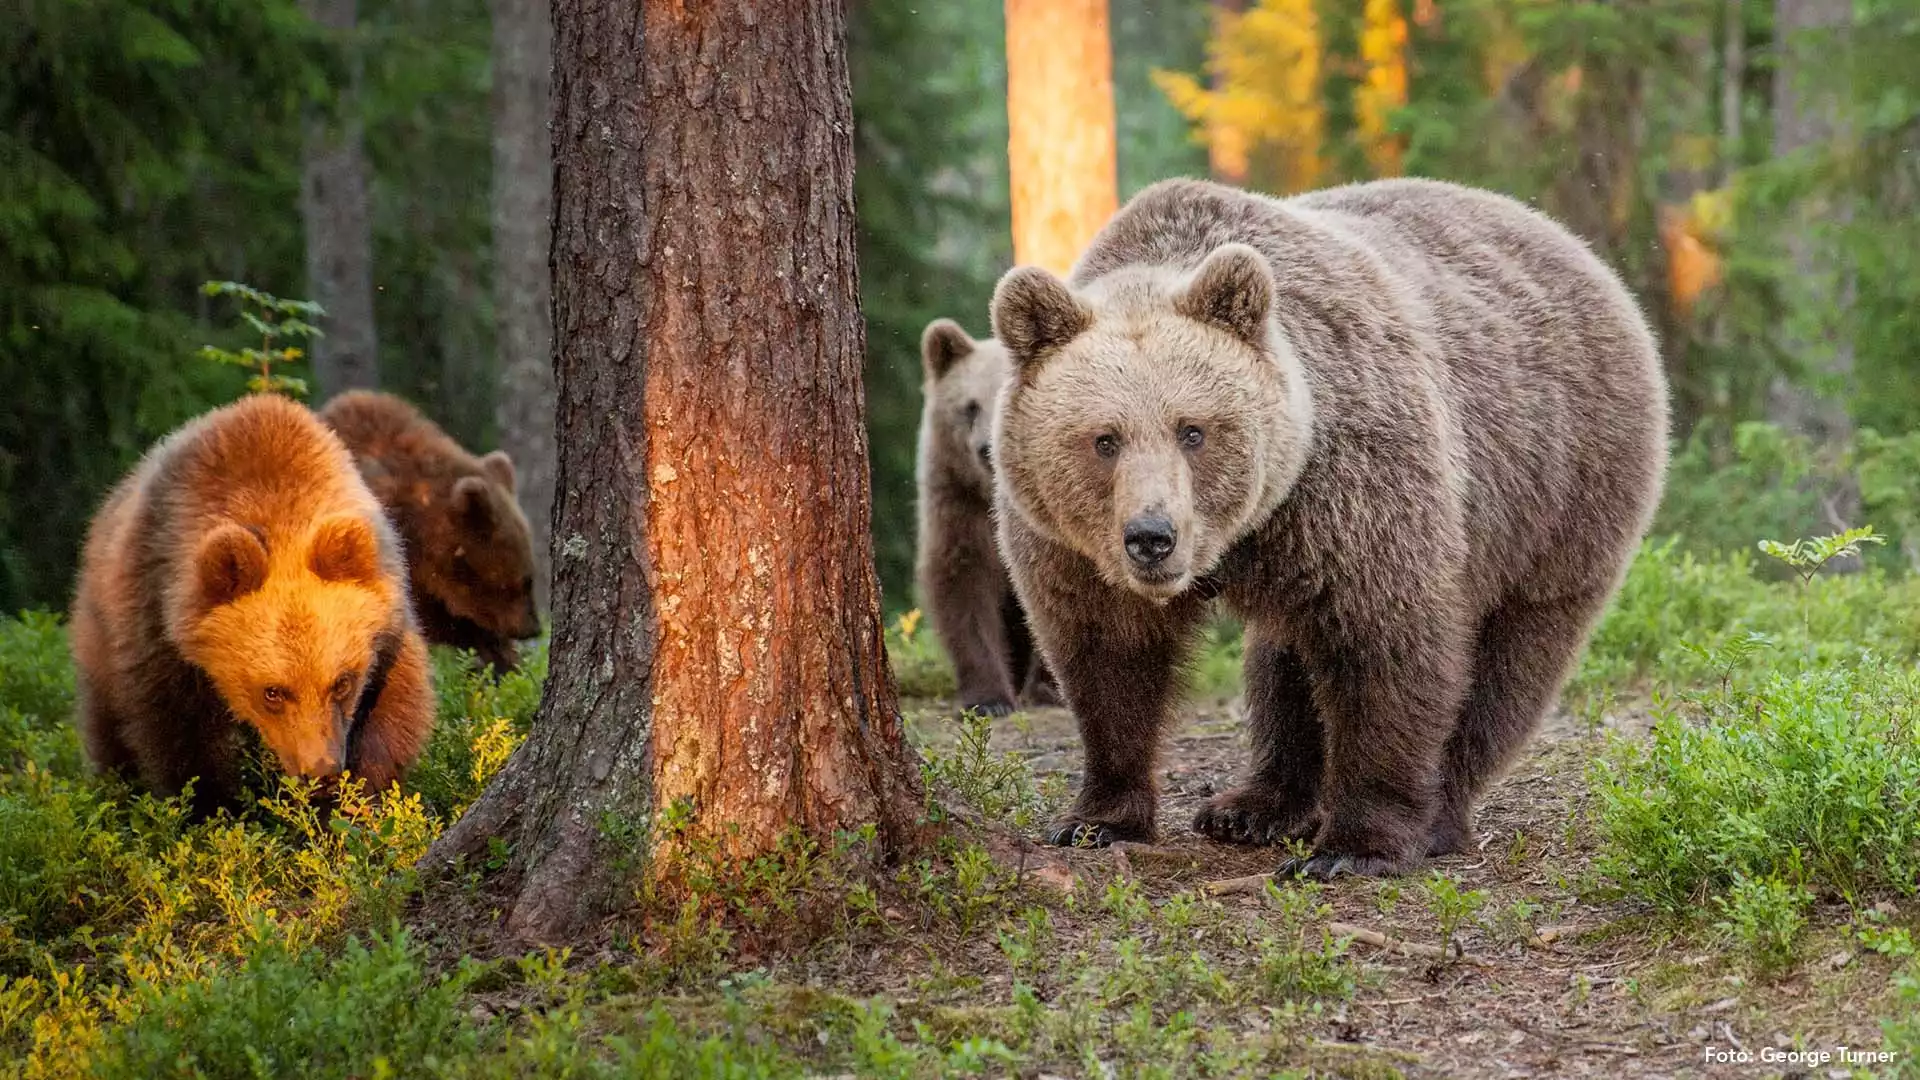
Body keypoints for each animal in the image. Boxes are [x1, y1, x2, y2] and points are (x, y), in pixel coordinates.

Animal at [68, 390, 439, 810]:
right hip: (100, 633)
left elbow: (395, 713)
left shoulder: (388, 622)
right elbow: (178, 737)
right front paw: (211, 806)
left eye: (342, 682)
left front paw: (358, 798)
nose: (320, 772)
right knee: (107, 727)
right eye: (273, 691)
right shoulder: (156, 618)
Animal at [917, 317, 1067, 714]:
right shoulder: (957, 500)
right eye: (970, 406)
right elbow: (963, 583)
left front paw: (1049, 688)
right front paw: (990, 698)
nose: (986, 449)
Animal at [990, 176, 1666, 876]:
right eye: (1104, 439)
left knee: (1512, 663)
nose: (1153, 536)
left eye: (1193, 430)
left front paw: (1353, 847)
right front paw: (1097, 819)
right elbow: (1108, 660)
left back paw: (1436, 816)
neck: (1244, 535)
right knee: (1284, 660)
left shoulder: (1352, 486)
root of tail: (1574, 246)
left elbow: (1386, 647)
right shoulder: (1070, 548)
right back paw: (1251, 808)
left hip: (1556, 492)